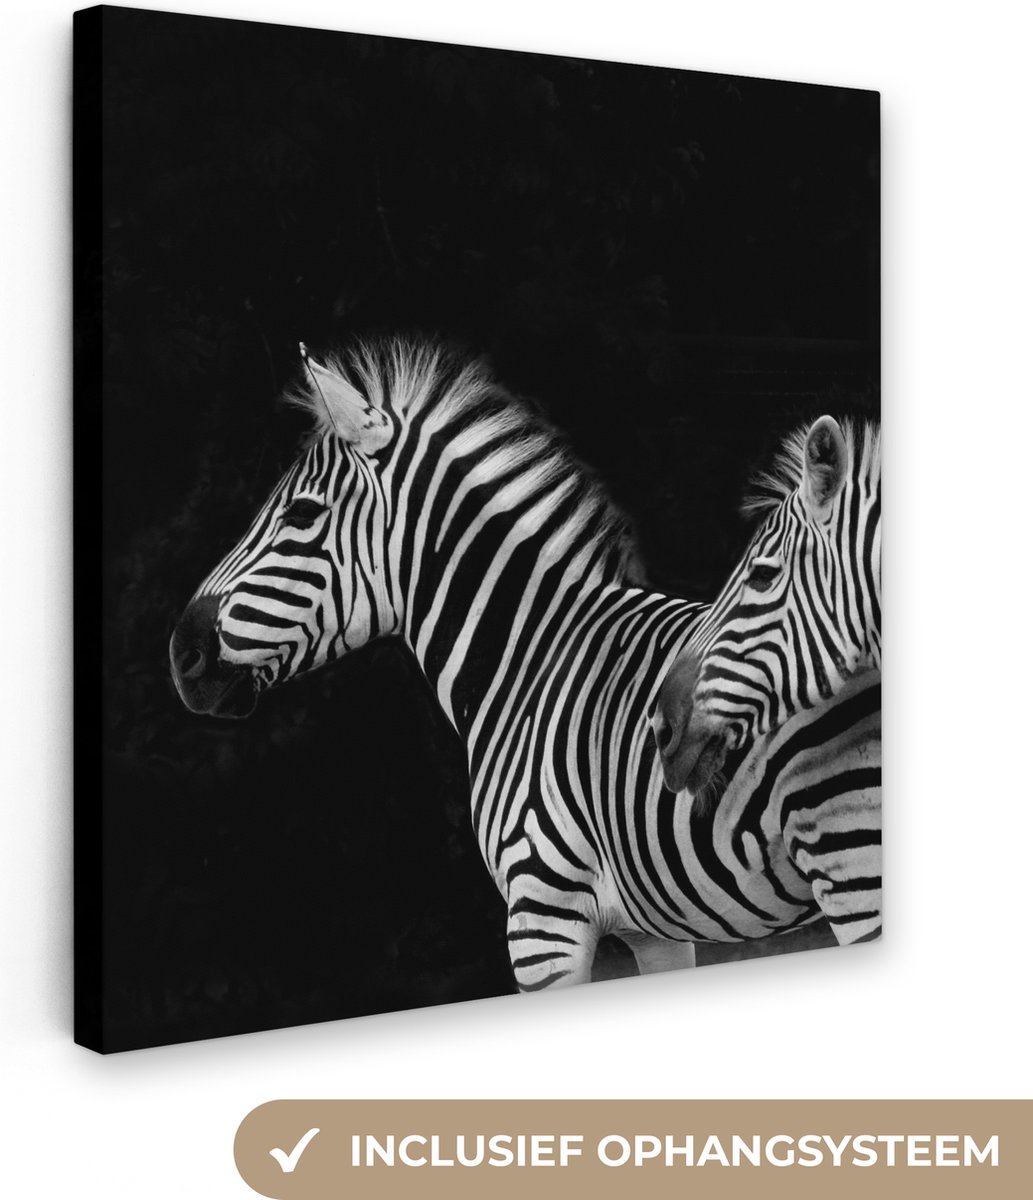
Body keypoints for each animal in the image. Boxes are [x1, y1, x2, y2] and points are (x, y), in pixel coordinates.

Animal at [170, 341, 879, 989]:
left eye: (302, 513)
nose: (182, 654)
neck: (529, 658)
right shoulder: (655, 931)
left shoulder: (542, 912)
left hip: (851, 864)